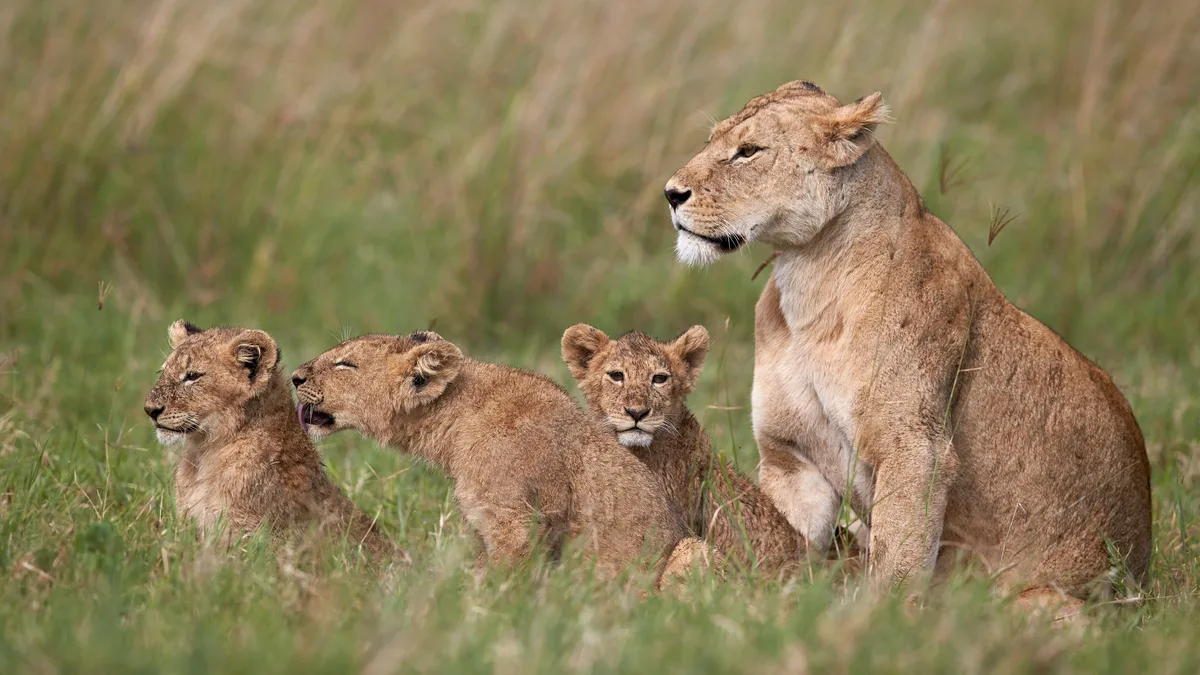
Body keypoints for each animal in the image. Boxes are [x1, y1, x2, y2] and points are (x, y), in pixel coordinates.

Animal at [291, 331, 718, 589]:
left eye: (345, 364)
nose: (294, 377)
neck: (455, 419)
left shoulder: (516, 521)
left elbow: (500, 584)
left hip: (692, 549)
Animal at [662, 80, 1151, 605]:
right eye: (713, 140)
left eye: (748, 151)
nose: (670, 193)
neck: (809, 280)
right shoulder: (791, 456)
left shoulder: (915, 450)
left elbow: (897, 560)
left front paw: (878, 617)